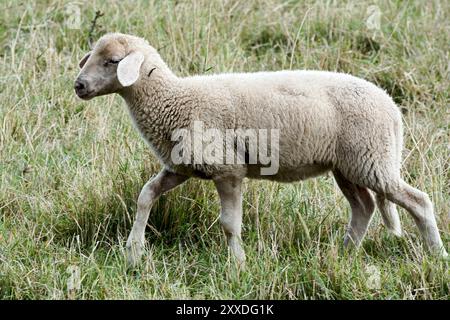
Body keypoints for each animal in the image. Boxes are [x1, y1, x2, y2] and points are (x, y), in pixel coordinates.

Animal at [73, 33, 446, 268]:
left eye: (113, 61)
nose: (78, 85)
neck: (174, 100)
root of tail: (392, 107)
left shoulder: (227, 169)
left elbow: (229, 223)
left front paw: (237, 265)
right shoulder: (181, 167)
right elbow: (146, 195)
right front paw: (133, 252)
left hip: (372, 159)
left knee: (418, 201)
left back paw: (438, 254)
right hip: (348, 166)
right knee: (364, 207)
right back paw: (343, 254)